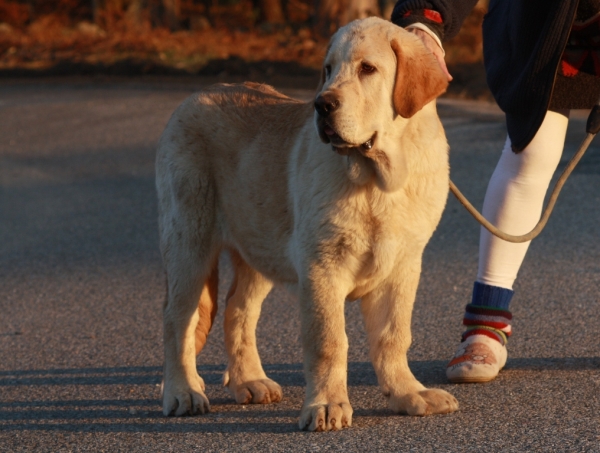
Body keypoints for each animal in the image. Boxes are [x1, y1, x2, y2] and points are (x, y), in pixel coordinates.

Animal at [157, 15, 458, 430]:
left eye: (367, 69)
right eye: (328, 70)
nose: (322, 104)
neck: (377, 180)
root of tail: (197, 95)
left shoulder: (403, 264)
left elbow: (394, 335)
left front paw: (408, 393)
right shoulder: (321, 265)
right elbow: (329, 341)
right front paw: (327, 405)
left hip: (259, 245)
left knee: (238, 310)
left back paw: (249, 381)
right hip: (190, 238)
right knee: (178, 317)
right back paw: (183, 391)